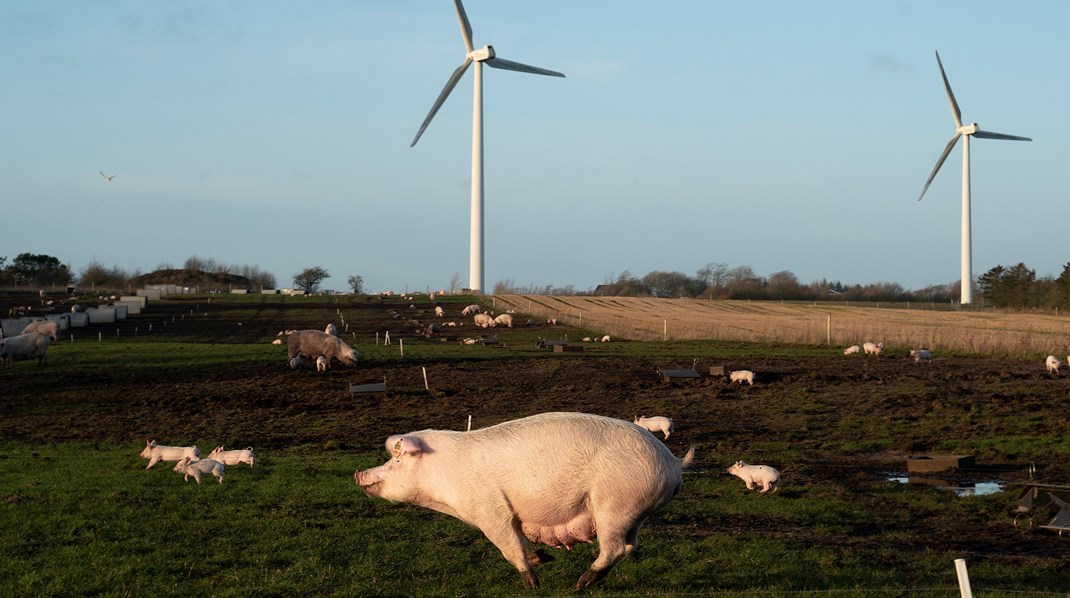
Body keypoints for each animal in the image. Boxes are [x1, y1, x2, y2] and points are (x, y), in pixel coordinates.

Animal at [355, 410, 697, 590]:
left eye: (397, 461)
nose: (359, 473)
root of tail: (673, 463)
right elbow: (520, 545)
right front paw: (544, 559)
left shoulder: (491, 512)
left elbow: (509, 547)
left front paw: (533, 584)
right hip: (634, 513)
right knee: (630, 546)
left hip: (613, 505)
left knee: (614, 547)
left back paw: (580, 584)